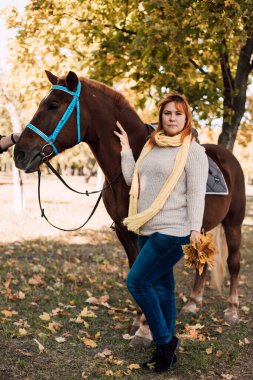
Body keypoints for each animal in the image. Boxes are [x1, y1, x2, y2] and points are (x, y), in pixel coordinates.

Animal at [13, 70, 245, 348]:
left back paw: (232, 310)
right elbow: (135, 271)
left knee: (233, 263)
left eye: (53, 105)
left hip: (233, 223)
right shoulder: (124, 232)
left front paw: (145, 329)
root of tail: (228, 158)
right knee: (202, 263)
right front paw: (139, 323)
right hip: (200, 227)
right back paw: (192, 304)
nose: (19, 153)